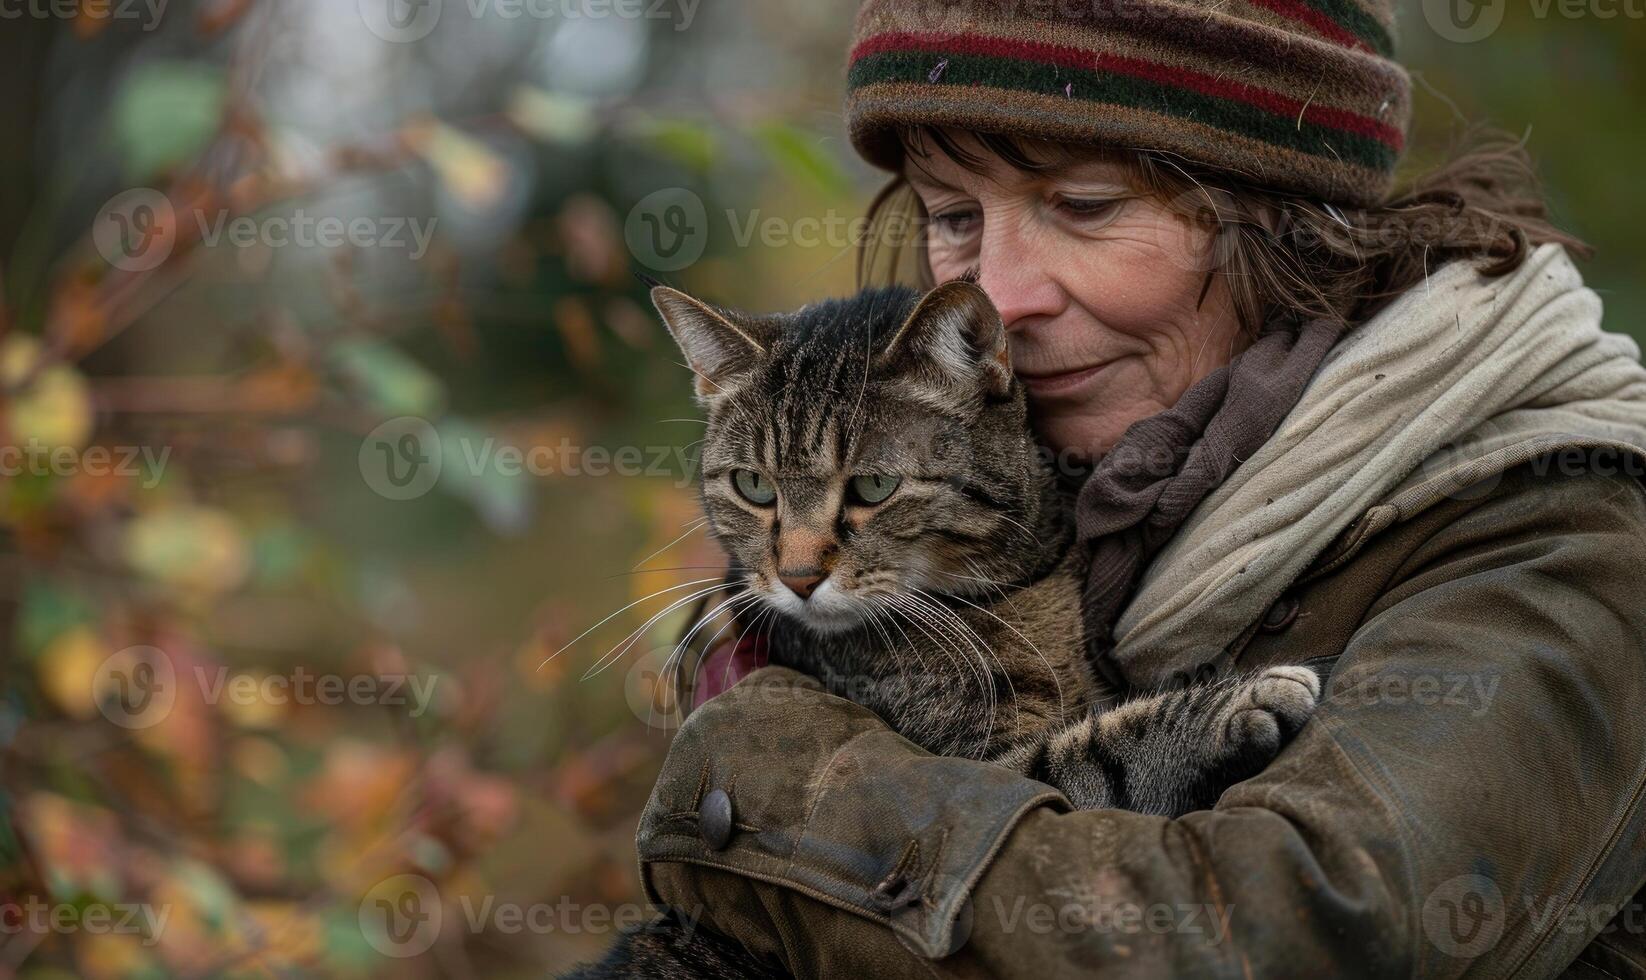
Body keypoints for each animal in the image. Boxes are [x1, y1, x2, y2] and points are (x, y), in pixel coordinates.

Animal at [572, 278, 1316, 980]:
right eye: (754, 485)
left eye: (874, 487)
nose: (799, 576)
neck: (1013, 590)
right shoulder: (989, 774)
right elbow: (1095, 755)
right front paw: (1237, 703)